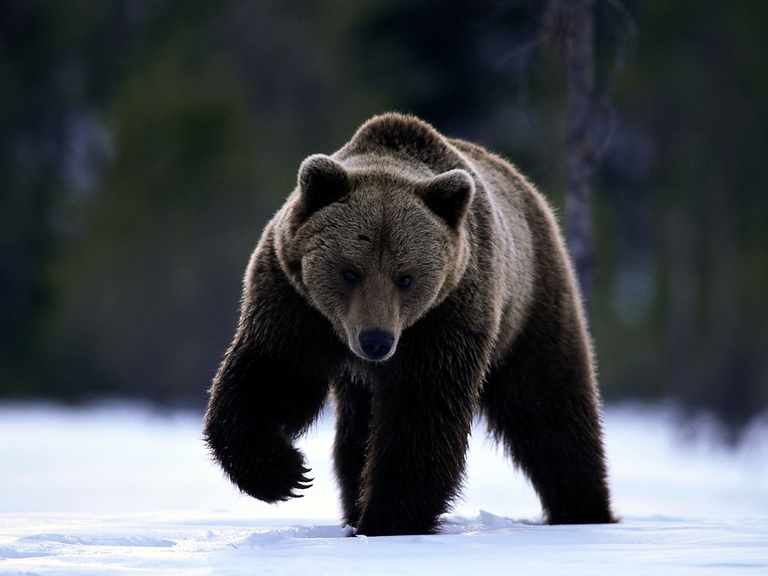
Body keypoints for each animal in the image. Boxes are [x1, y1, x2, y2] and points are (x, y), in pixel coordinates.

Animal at [203, 113, 615, 536]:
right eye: (350, 271)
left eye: (406, 277)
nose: (376, 340)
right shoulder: (294, 303)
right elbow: (271, 375)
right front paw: (285, 473)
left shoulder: (446, 316)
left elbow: (421, 413)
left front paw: (387, 519)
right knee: (355, 435)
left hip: (530, 306)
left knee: (549, 408)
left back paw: (582, 509)